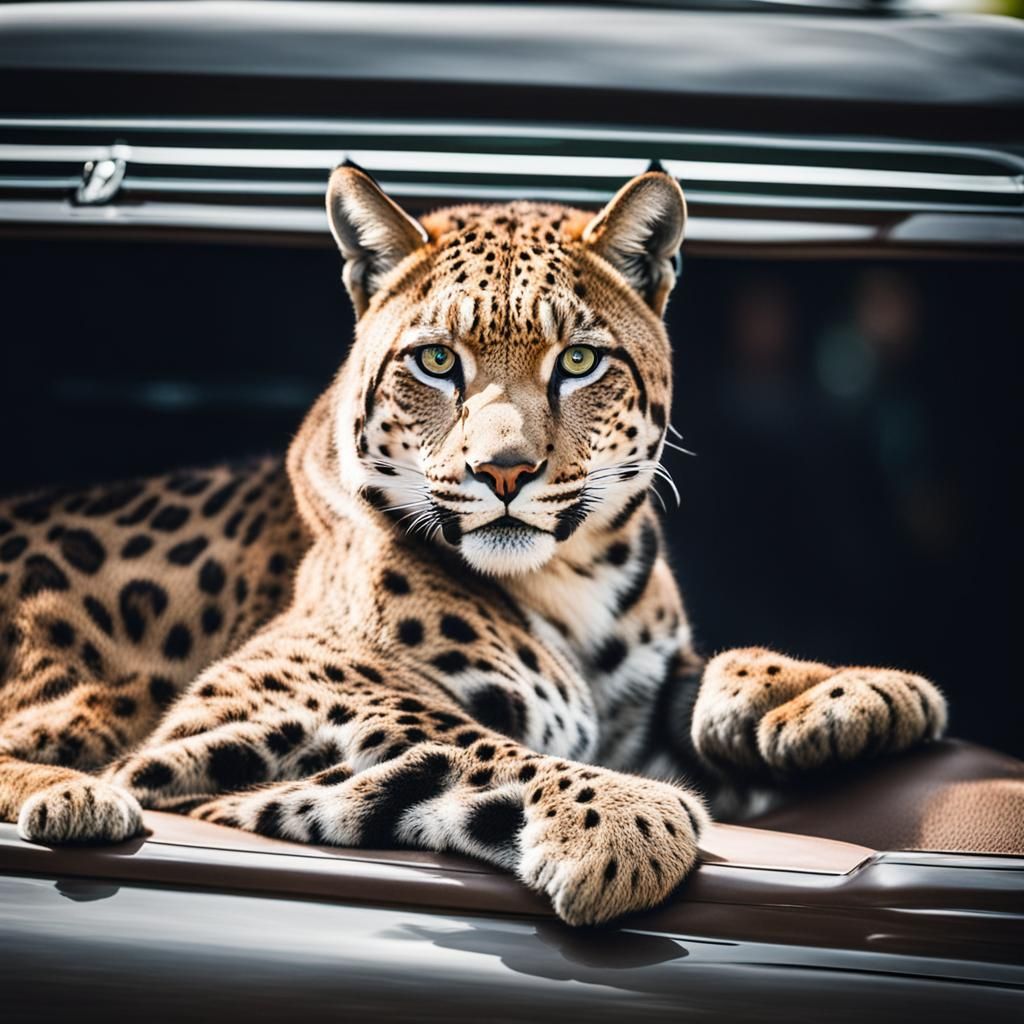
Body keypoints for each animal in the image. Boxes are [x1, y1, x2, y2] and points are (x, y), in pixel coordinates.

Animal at [0, 165, 947, 926]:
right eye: (436, 362)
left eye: (577, 362)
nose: (504, 470)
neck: (572, 580)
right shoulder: (246, 705)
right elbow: (454, 736)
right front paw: (623, 825)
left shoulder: (634, 708)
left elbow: (707, 674)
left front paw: (842, 691)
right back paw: (73, 798)